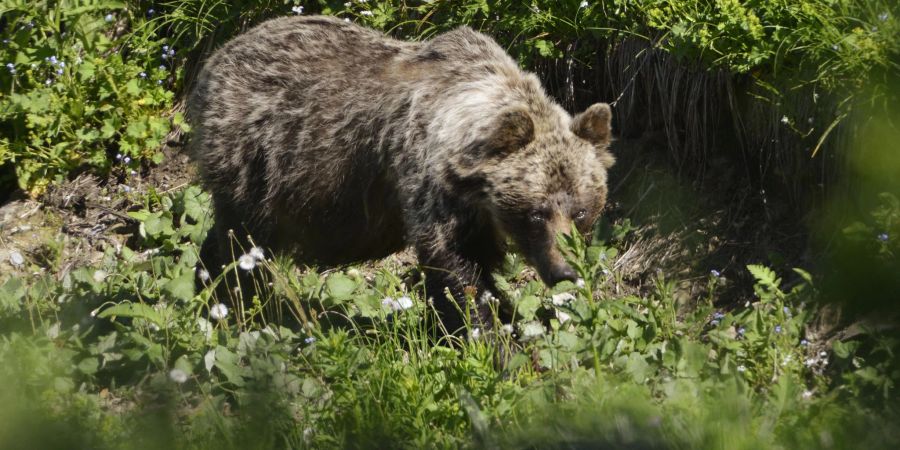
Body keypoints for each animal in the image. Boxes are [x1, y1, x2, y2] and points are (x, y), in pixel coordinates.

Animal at [187, 15, 616, 332]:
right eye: (536, 212)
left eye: (581, 210)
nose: (565, 271)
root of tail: (215, 58)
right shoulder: (429, 184)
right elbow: (457, 270)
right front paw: (492, 337)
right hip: (258, 160)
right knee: (240, 242)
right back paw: (230, 304)